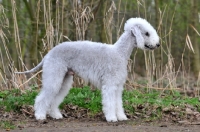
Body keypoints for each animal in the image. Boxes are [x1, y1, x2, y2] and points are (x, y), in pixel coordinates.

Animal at [16, 17, 159, 121]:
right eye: (147, 33)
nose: (158, 44)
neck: (120, 52)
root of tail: (48, 54)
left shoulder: (118, 86)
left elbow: (118, 103)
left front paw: (122, 117)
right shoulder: (110, 85)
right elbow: (110, 103)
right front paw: (112, 118)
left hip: (64, 80)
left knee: (54, 99)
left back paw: (55, 115)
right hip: (54, 76)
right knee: (41, 98)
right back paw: (40, 116)